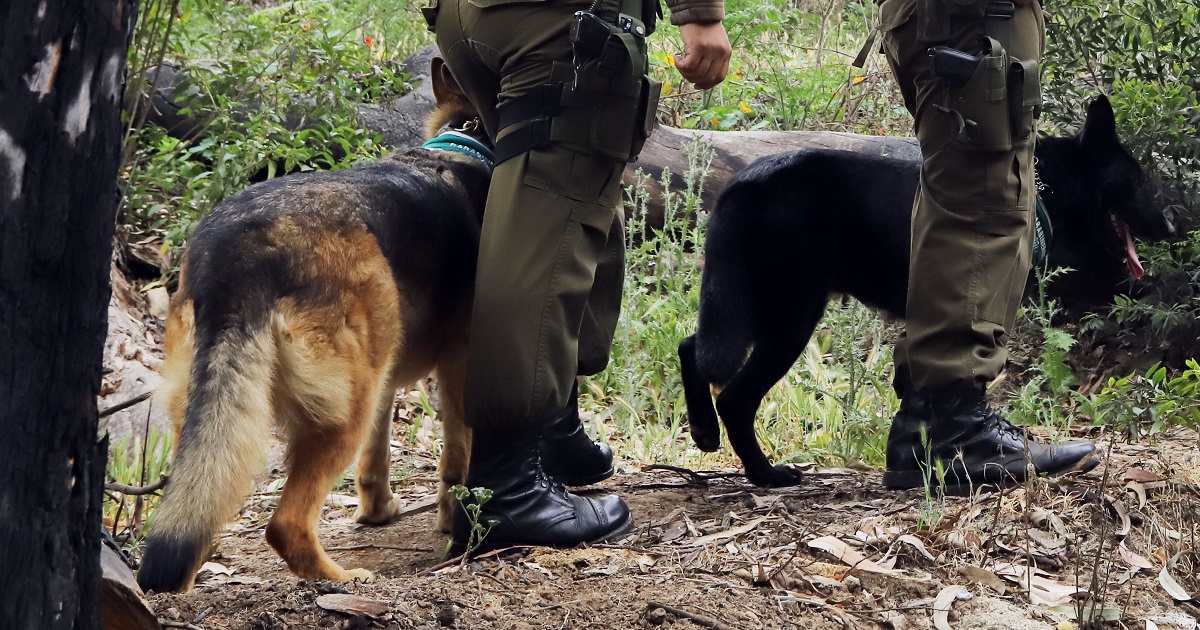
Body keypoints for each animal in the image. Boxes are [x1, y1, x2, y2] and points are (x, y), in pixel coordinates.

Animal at [140, 57, 492, 590]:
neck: (463, 141)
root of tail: (241, 252)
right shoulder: (456, 368)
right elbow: (456, 463)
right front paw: (455, 527)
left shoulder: (386, 380)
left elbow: (375, 460)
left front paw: (378, 510)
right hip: (344, 412)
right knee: (286, 525)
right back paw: (342, 579)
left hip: (218, 415)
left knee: (193, 508)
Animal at [681, 96, 1176, 487]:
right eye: (1138, 183)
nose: (1174, 228)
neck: (1050, 189)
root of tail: (743, 184)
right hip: (789, 318)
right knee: (733, 395)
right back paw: (764, 473)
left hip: (754, 308)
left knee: (691, 347)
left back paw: (708, 433)